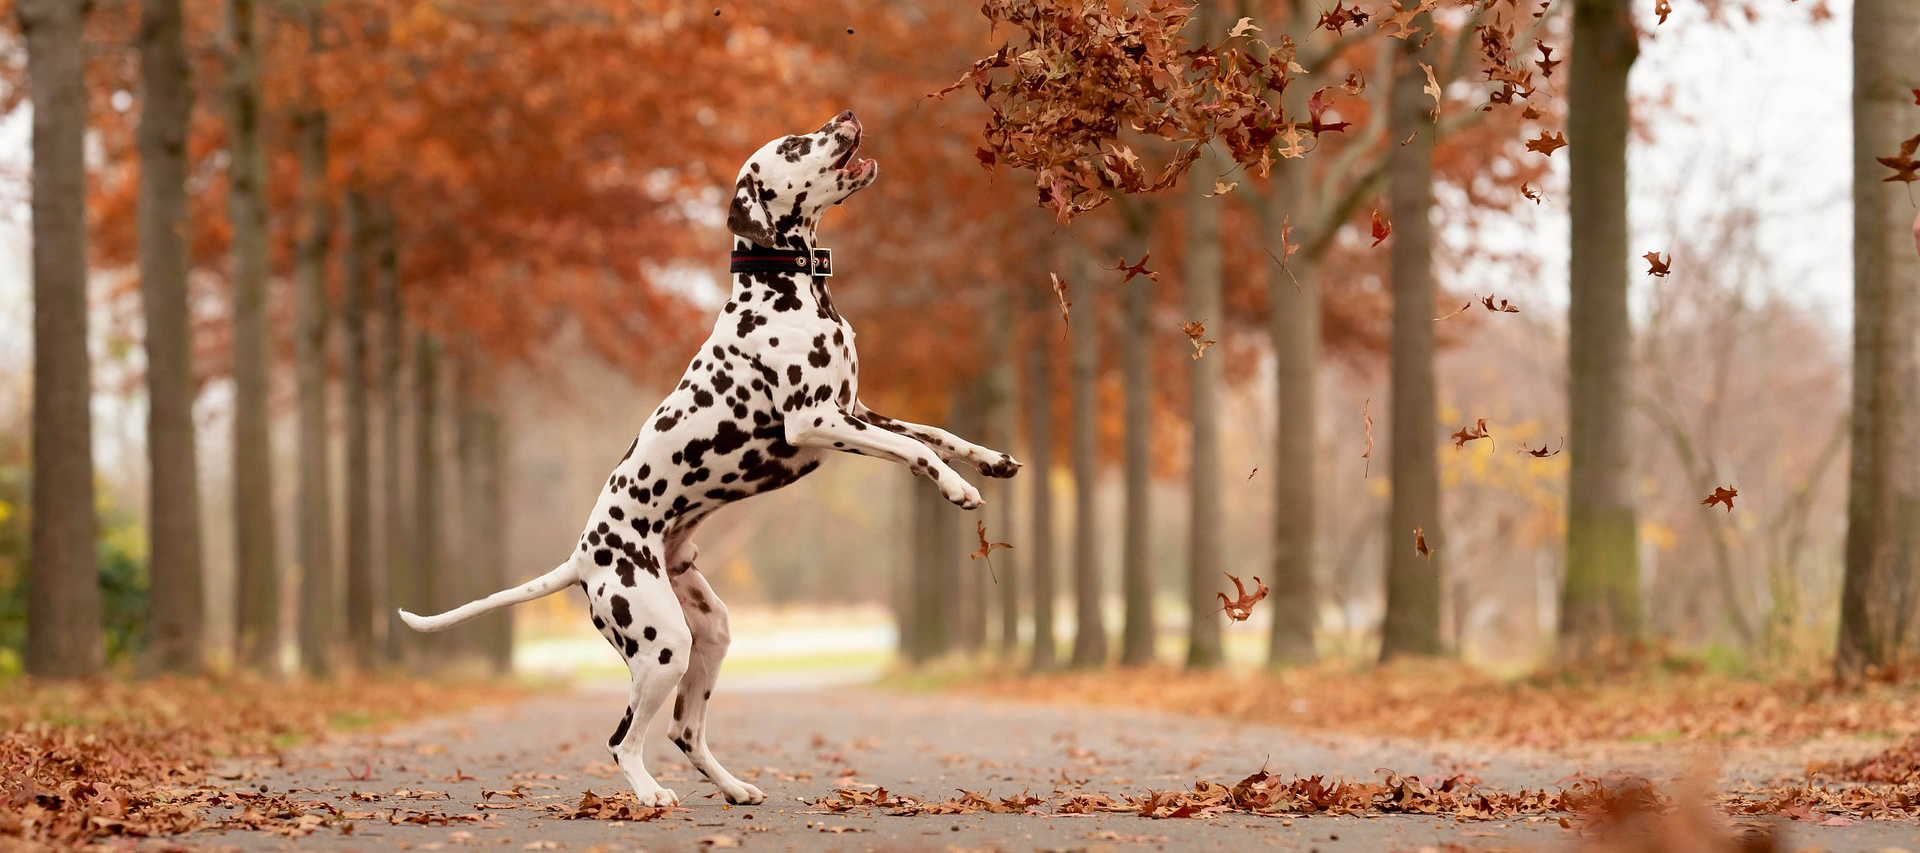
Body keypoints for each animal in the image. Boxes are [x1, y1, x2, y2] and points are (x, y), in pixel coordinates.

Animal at [399, 111, 1029, 806]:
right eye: (794, 145)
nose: (846, 116)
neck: (789, 290)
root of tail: (583, 558)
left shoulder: (857, 410)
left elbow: (933, 432)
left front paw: (990, 461)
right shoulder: (817, 420)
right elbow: (914, 449)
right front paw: (956, 489)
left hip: (710, 632)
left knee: (685, 731)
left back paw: (735, 788)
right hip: (662, 645)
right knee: (622, 739)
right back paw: (650, 793)